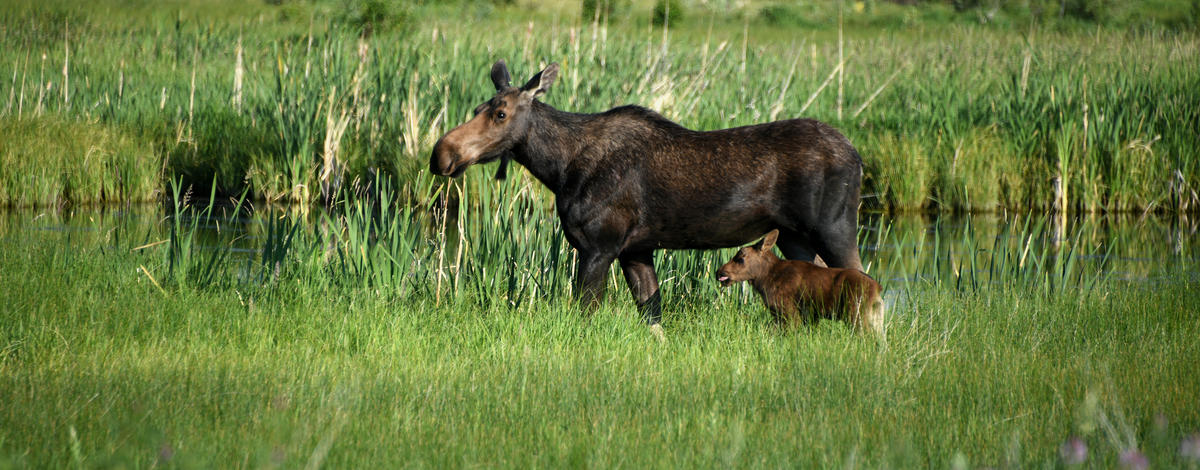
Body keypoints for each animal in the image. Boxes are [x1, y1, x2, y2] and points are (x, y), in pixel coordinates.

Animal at [432, 59, 864, 330]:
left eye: (500, 114)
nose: (442, 154)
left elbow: (585, 313)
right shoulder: (635, 249)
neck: (559, 169)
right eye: (477, 107)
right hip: (794, 237)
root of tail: (858, 156)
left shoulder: (599, 245)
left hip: (835, 227)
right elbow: (653, 318)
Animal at [715, 229, 888, 333]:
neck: (764, 280)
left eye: (741, 258)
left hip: (856, 314)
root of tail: (878, 288)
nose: (719, 272)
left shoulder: (788, 310)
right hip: (875, 317)